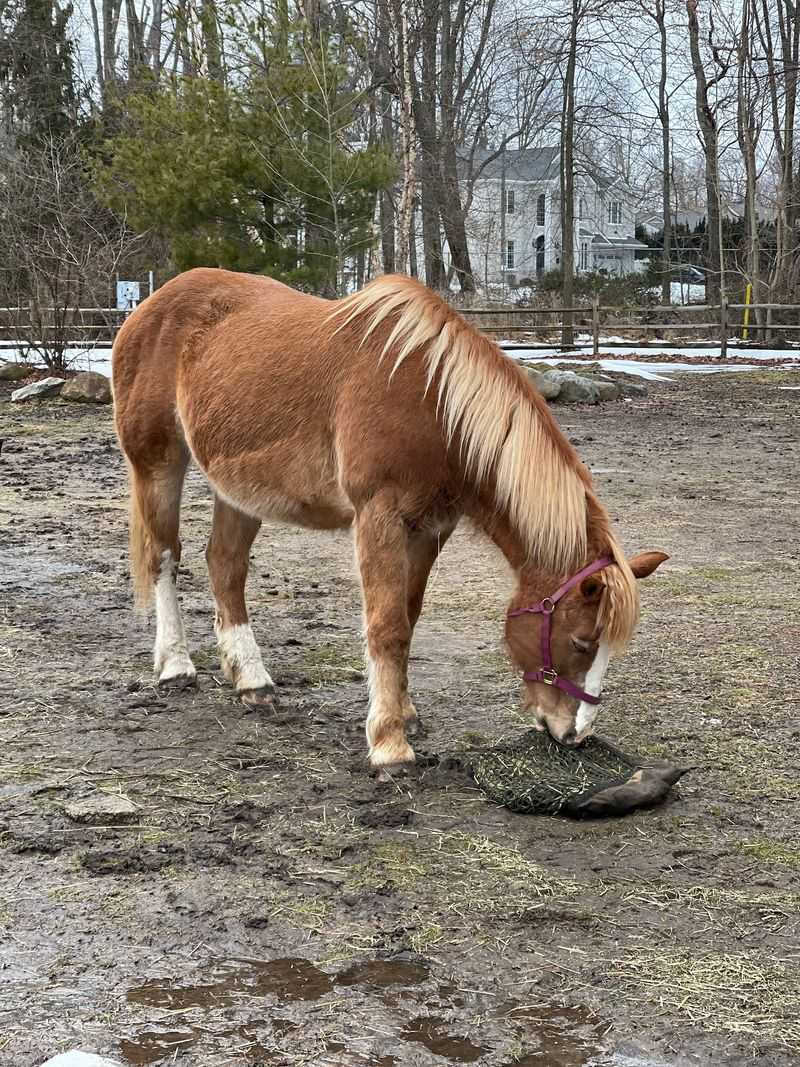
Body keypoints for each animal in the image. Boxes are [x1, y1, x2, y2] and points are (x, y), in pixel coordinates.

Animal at [112, 268, 667, 773]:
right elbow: (387, 626)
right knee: (164, 558)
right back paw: (175, 665)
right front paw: (389, 743)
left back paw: (253, 681)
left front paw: (405, 713)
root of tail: (152, 305)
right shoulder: (379, 517)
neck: (435, 405)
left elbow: (409, 616)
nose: (575, 735)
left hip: (238, 489)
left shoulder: (430, 529)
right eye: (582, 642)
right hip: (159, 464)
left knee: (225, 566)